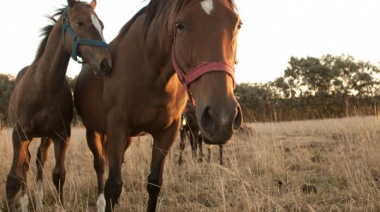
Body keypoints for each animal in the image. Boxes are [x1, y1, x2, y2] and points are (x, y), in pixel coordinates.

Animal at [4, 0, 111, 211]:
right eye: (80, 23)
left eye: (101, 25)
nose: (106, 63)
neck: (44, 85)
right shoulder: (19, 134)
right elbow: (14, 178)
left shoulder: (61, 135)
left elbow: (59, 174)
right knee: (26, 165)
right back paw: (25, 201)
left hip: (45, 137)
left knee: (39, 159)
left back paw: (38, 199)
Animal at [73, 0, 243, 211]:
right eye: (180, 25)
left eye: (237, 24)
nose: (222, 118)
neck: (148, 72)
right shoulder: (116, 128)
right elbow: (112, 186)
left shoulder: (167, 132)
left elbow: (154, 183)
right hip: (94, 132)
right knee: (99, 166)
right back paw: (100, 201)